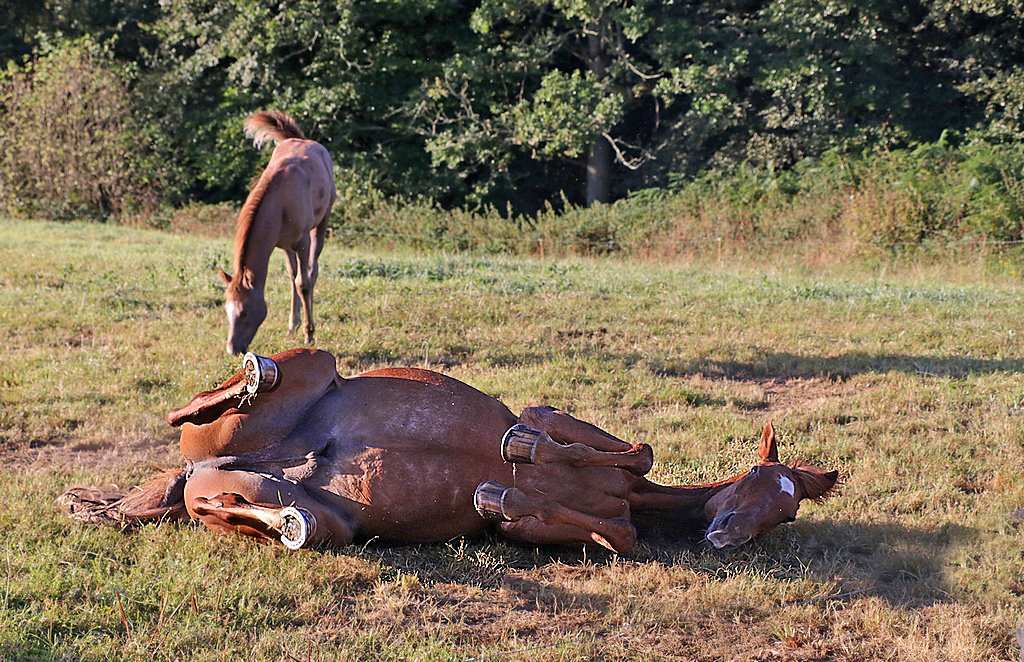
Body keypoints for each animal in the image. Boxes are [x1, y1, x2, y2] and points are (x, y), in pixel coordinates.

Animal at [59, 350, 835, 557]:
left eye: (788, 511)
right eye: (762, 477)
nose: (726, 536)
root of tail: (196, 469)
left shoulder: (548, 532)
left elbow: (613, 533)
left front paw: (500, 491)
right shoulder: (557, 417)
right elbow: (634, 453)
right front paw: (520, 450)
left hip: (291, 511)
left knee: (246, 511)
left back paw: (288, 523)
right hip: (305, 370)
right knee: (197, 405)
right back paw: (254, 375)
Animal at [220, 111, 335, 354]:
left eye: (244, 312)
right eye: (226, 310)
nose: (233, 349)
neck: (281, 199)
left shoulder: (303, 243)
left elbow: (304, 283)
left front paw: (309, 333)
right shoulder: (283, 245)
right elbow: (293, 279)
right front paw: (294, 326)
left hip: (322, 223)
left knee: (312, 271)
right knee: (294, 276)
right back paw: (294, 325)